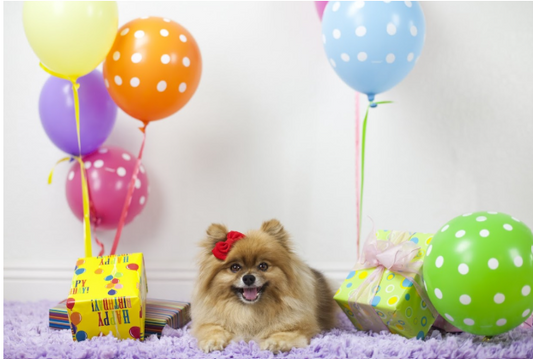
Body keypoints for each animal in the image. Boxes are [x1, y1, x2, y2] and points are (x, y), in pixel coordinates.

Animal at [189, 219, 334, 354]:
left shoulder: (297, 328)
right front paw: (212, 341)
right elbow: (213, 330)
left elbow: (283, 334)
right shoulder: (210, 322)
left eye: (263, 266)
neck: (249, 311)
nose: (248, 278)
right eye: (235, 267)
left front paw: (274, 343)